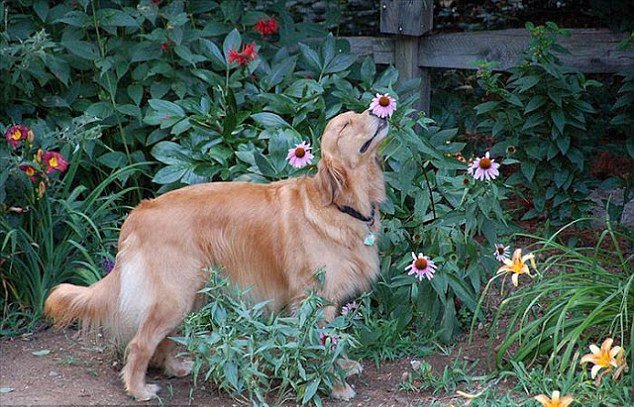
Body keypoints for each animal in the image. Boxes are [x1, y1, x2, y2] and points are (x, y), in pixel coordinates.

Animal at [43, 109, 386, 402]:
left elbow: (336, 341)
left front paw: (345, 367)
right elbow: (325, 347)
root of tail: (139, 212)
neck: (339, 205)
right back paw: (138, 389)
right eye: (346, 125)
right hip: (174, 297)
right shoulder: (314, 300)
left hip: (189, 295)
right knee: (141, 343)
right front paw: (338, 386)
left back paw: (176, 368)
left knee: (164, 340)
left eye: (356, 114)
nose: (376, 110)